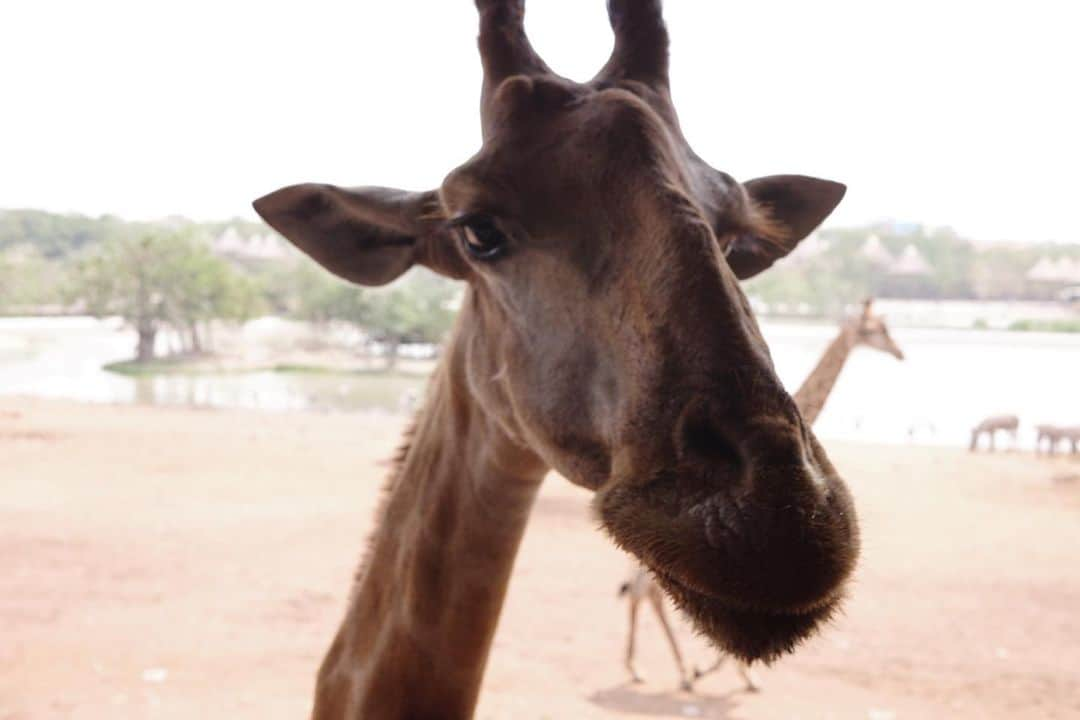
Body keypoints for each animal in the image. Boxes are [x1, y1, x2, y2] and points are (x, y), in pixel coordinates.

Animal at [617, 297, 902, 690]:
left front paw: (735, 671)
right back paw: (680, 672)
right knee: (646, 590)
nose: (900, 352)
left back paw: (641, 667)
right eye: (877, 329)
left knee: (639, 588)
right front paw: (730, 672)